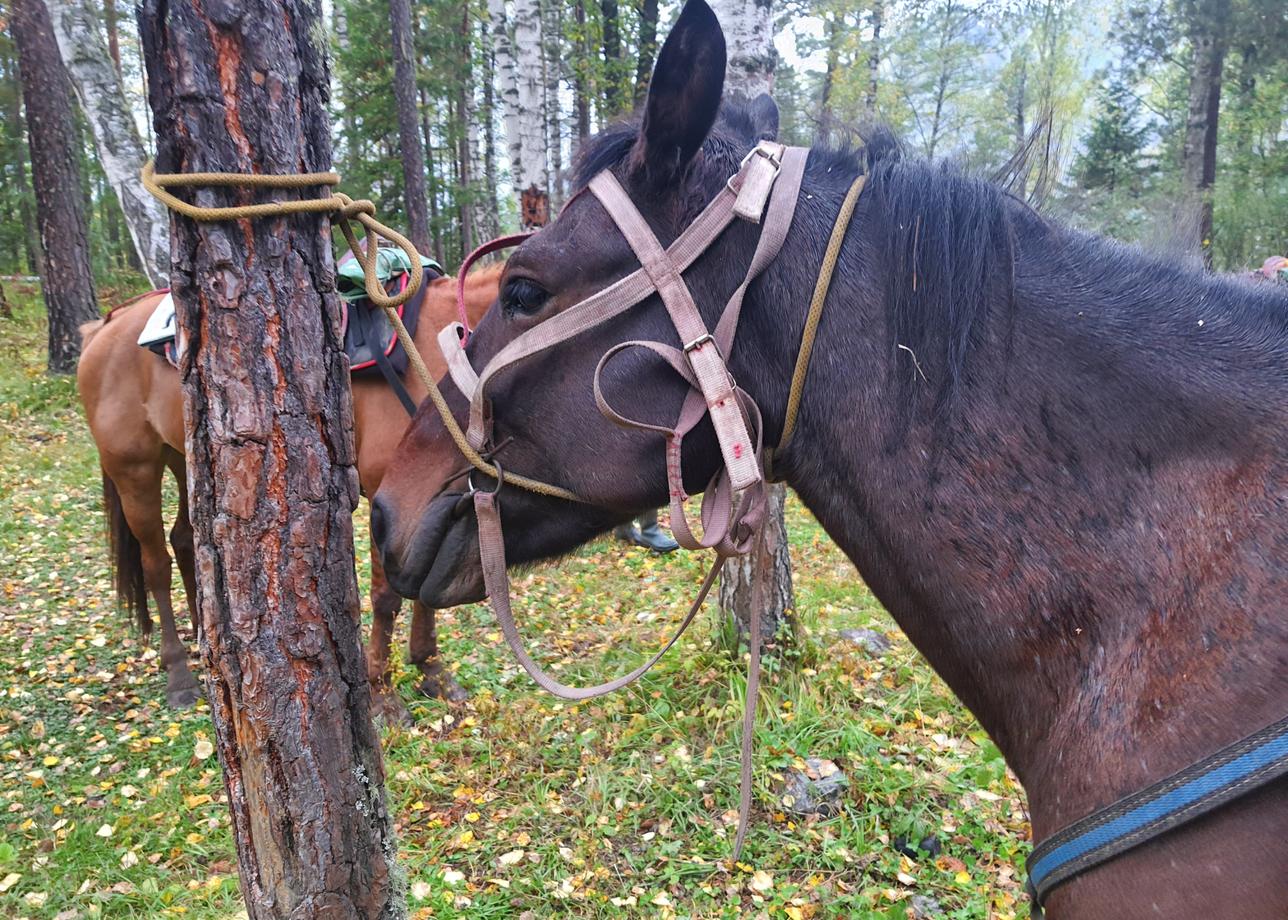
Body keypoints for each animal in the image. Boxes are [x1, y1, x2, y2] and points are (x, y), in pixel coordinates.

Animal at [75, 265, 497, 716]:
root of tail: (105, 326)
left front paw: (432, 672)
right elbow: (387, 597)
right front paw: (383, 694)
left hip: (185, 459)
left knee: (186, 543)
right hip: (134, 470)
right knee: (156, 563)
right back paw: (179, 675)